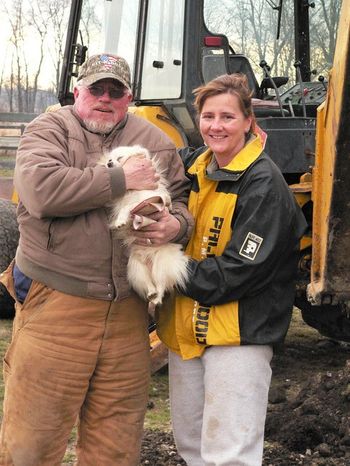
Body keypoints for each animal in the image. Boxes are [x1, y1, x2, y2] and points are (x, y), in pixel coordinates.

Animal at [100, 146, 190, 306]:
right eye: (109, 159)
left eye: (119, 158)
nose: (109, 163)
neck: (130, 190)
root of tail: (149, 260)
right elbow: (122, 207)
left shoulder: (145, 202)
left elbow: (127, 207)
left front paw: (120, 221)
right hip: (136, 268)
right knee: (149, 284)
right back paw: (151, 293)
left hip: (161, 265)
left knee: (161, 285)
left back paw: (157, 298)